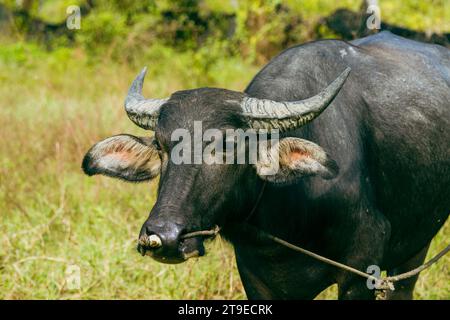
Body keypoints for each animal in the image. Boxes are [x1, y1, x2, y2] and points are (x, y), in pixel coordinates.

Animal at [82, 31, 448, 298]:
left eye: (227, 144)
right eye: (161, 146)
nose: (163, 236)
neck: (288, 213)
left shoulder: (360, 272)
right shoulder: (257, 278)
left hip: (413, 250)